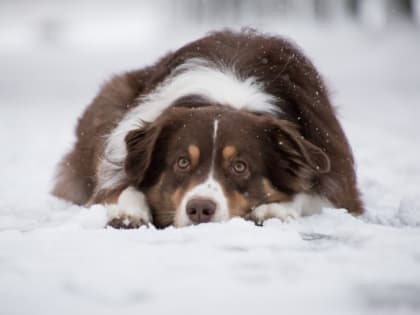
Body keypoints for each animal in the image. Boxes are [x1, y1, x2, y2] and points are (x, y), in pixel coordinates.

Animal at [52, 30, 362, 230]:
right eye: (182, 162)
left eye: (239, 166)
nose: (200, 209)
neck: (227, 97)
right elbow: (121, 186)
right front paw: (129, 211)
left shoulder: (338, 177)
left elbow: (310, 194)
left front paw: (275, 209)